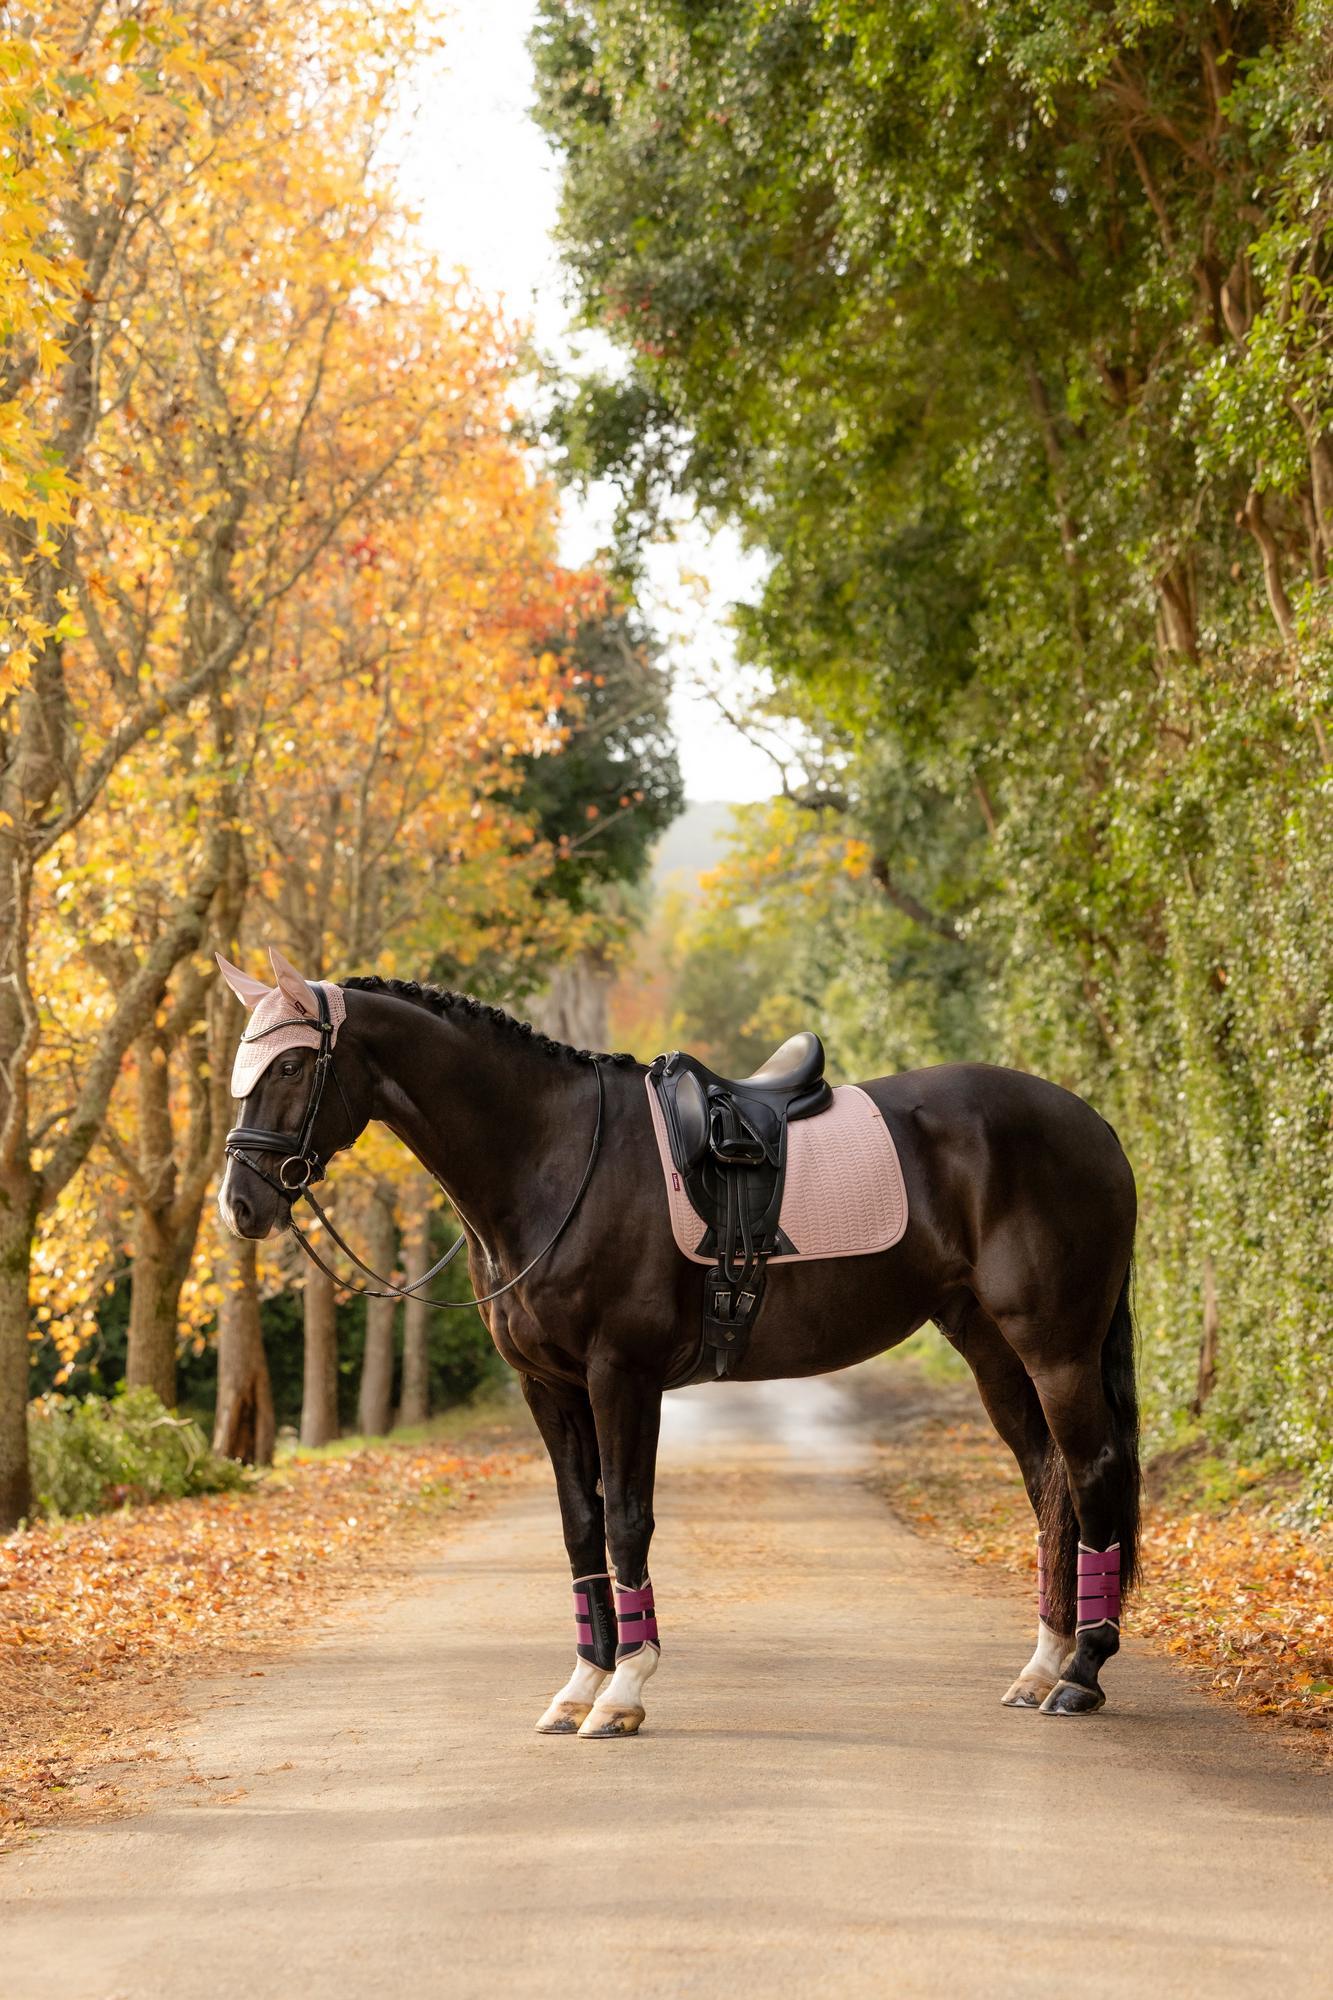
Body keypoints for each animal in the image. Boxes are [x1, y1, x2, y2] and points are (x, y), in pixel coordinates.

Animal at [218, 948, 1140, 1739]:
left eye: (291, 1067)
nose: (240, 1206)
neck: (552, 1155)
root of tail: (1092, 1122)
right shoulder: (547, 1386)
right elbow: (580, 1525)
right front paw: (581, 1684)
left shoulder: (621, 1376)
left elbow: (627, 1521)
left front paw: (624, 1690)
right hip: (986, 1343)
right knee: (1049, 1480)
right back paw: (1041, 1663)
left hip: (1054, 1346)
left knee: (1091, 1471)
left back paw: (1080, 1674)